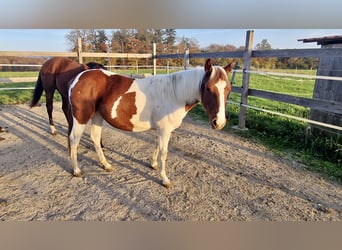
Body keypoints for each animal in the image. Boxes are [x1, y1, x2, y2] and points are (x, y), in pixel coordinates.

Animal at [68, 59, 234, 188]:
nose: (219, 122)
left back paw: (106, 165)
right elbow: (164, 153)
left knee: (95, 138)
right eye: (208, 88)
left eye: (228, 89)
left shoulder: (161, 129)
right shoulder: (165, 130)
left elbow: (157, 147)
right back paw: (77, 170)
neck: (173, 94)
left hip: (97, 116)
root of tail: (78, 77)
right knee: (74, 140)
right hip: (81, 117)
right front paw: (165, 179)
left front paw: (153, 165)